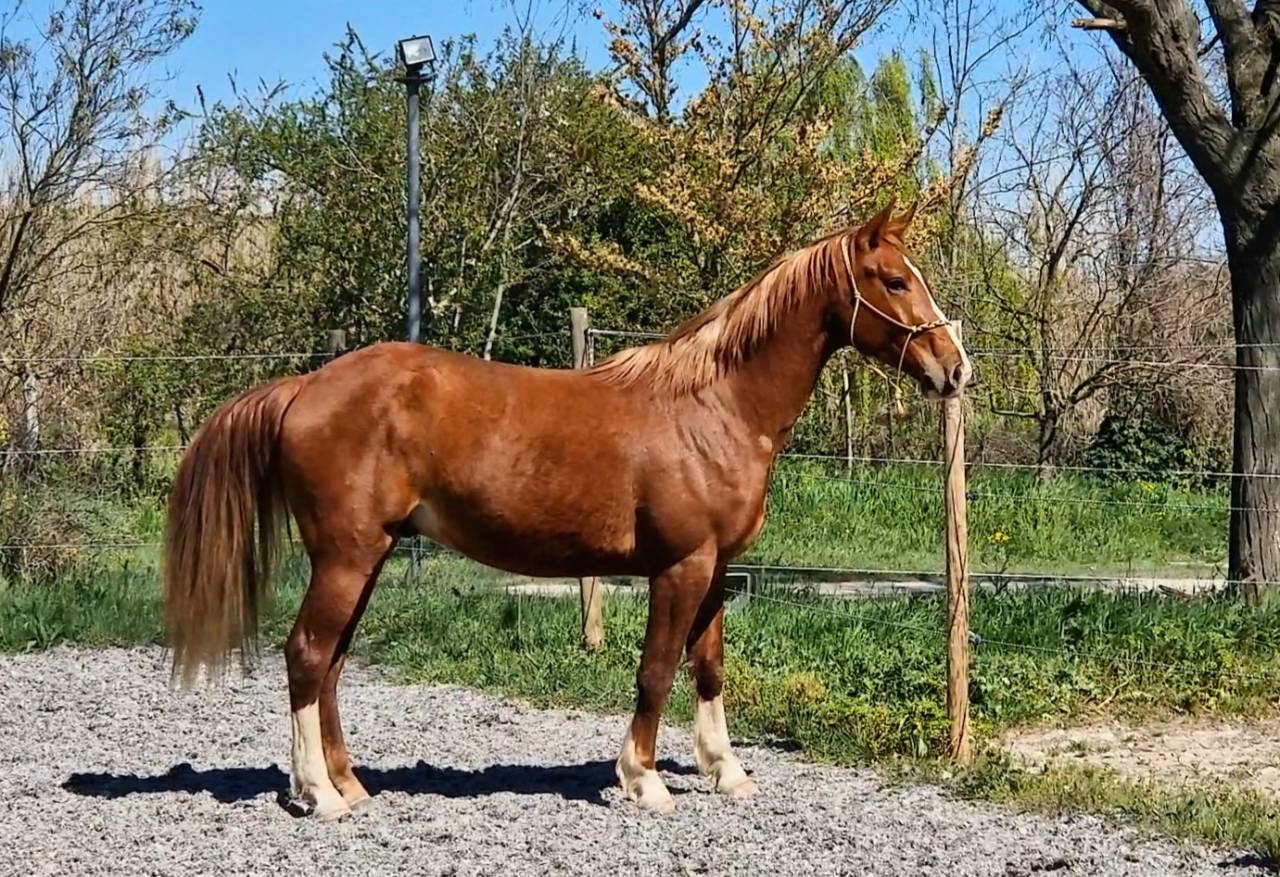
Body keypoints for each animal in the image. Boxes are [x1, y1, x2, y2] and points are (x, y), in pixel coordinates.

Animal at [162, 202, 971, 821]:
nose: (954, 367)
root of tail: (304, 386)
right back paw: (318, 795)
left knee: (329, 662)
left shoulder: (716, 569)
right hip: (346, 555)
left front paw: (727, 771)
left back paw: (349, 783)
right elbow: (656, 670)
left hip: (368, 555)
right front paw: (643, 779)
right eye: (895, 280)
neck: (715, 407)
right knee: (306, 654)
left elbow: (709, 667)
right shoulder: (679, 568)